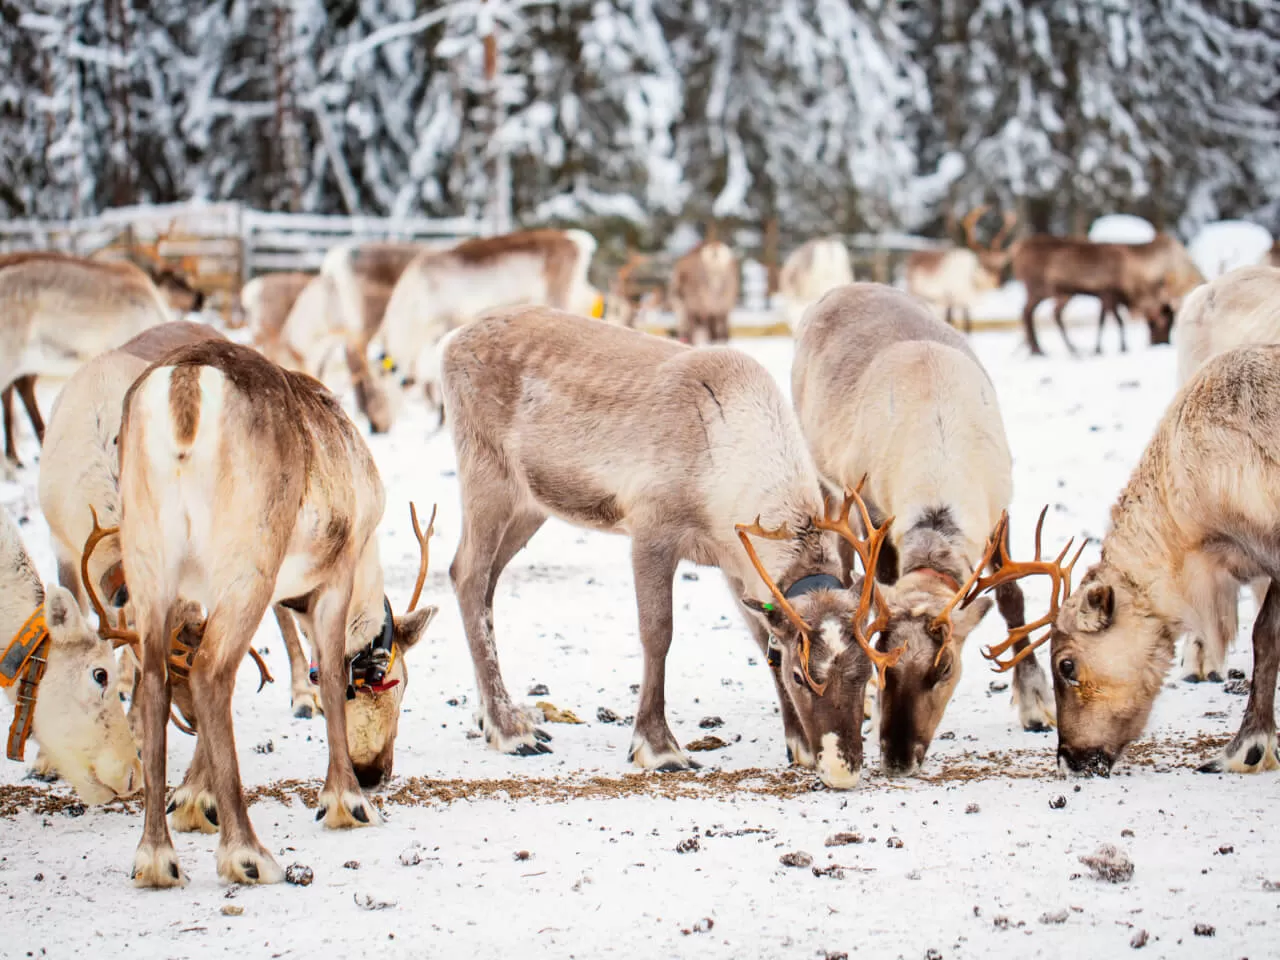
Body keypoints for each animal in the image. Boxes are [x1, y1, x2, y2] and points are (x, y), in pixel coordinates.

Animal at [117, 339, 437, 887]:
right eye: (400, 684)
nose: (376, 774)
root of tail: (185, 382)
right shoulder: (336, 575)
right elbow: (330, 676)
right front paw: (345, 801)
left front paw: (194, 797)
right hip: (250, 556)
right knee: (211, 673)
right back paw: (246, 853)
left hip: (148, 559)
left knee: (158, 678)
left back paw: (155, 857)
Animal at [371, 228, 604, 430]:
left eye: (379, 388)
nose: (375, 427)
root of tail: (580, 240)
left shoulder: (455, 319)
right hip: (578, 291)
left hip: (559, 294)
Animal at [441, 305, 907, 789]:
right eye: (801, 675)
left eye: (867, 670)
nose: (842, 770)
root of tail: (453, 339)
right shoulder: (651, 531)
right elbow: (657, 633)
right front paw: (658, 747)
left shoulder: (736, 562)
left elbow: (762, 638)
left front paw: (796, 743)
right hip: (488, 476)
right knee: (467, 574)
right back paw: (510, 731)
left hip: (531, 503)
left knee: (485, 582)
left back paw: (491, 716)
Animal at [791, 284, 1055, 775]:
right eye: (882, 666)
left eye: (945, 668)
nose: (897, 757)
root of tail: (840, 289)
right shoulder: (874, 510)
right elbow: (878, 582)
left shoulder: (1000, 507)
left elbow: (1012, 596)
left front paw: (1036, 703)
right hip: (828, 479)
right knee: (841, 555)